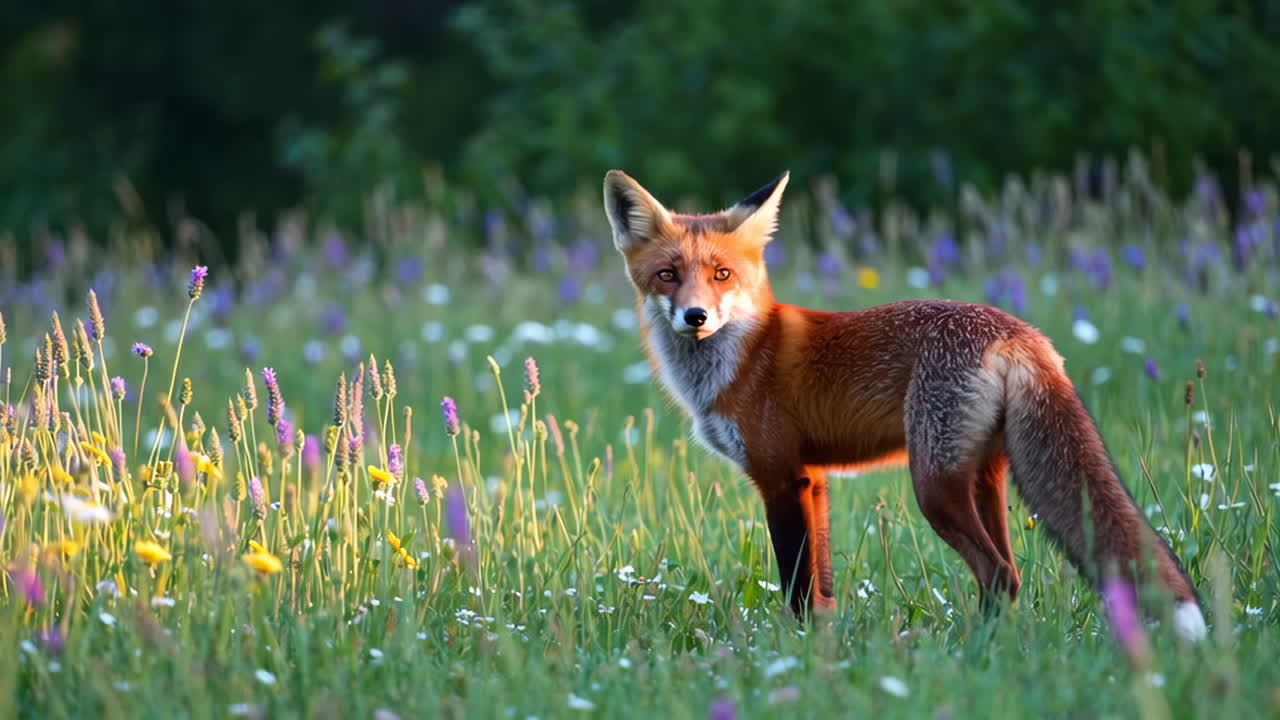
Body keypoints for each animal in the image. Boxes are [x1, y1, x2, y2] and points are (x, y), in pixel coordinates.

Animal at [603, 169, 1207, 641]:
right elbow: (822, 591)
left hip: (933, 485)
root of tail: (1019, 333)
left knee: (997, 572)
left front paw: (792, 657)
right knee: (1010, 572)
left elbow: (796, 586)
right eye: (667, 275)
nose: (696, 316)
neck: (745, 354)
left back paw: (973, 652)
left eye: (721, 274)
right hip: (983, 477)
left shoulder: (779, 478)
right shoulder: (813, 479)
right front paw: (822, 649)